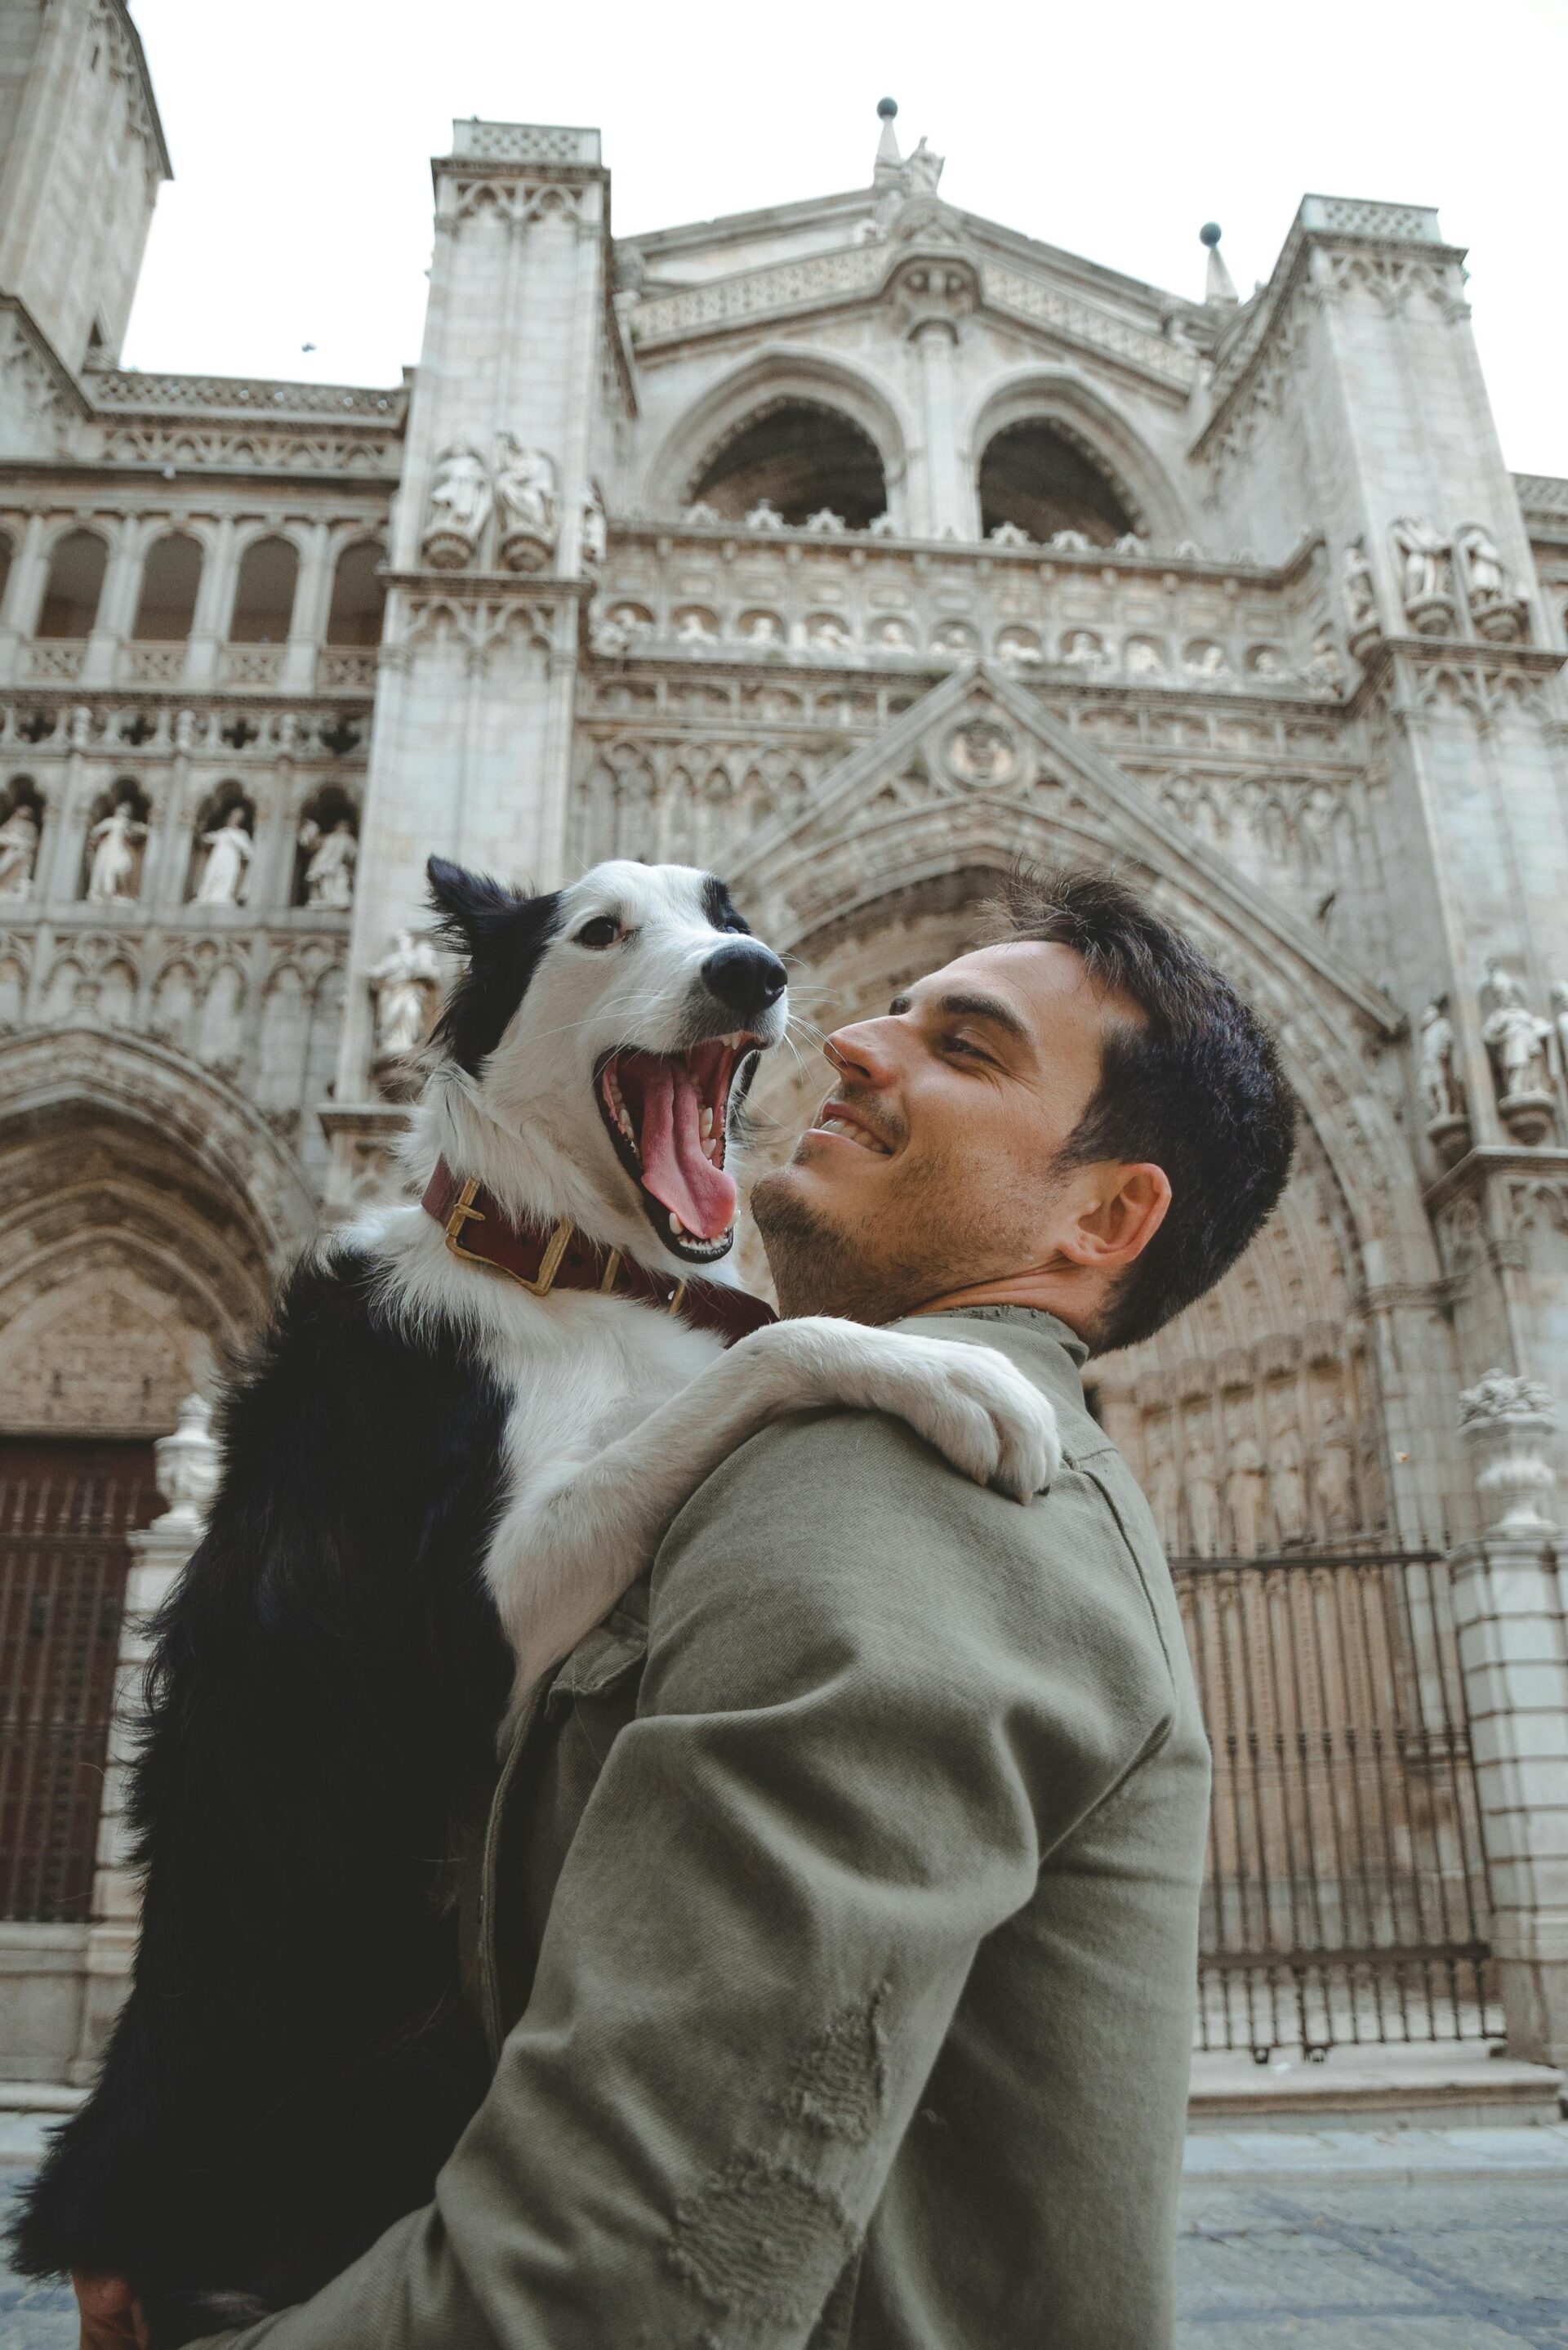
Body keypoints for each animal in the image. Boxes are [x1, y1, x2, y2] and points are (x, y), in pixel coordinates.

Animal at [12, 855, 1062, 2340]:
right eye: (601, 930)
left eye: (724, 907)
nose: (753, 969)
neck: (566, 1254)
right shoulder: (479, 1621)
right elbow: (784, 1343)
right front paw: (958, 1374)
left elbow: (759, 1340)